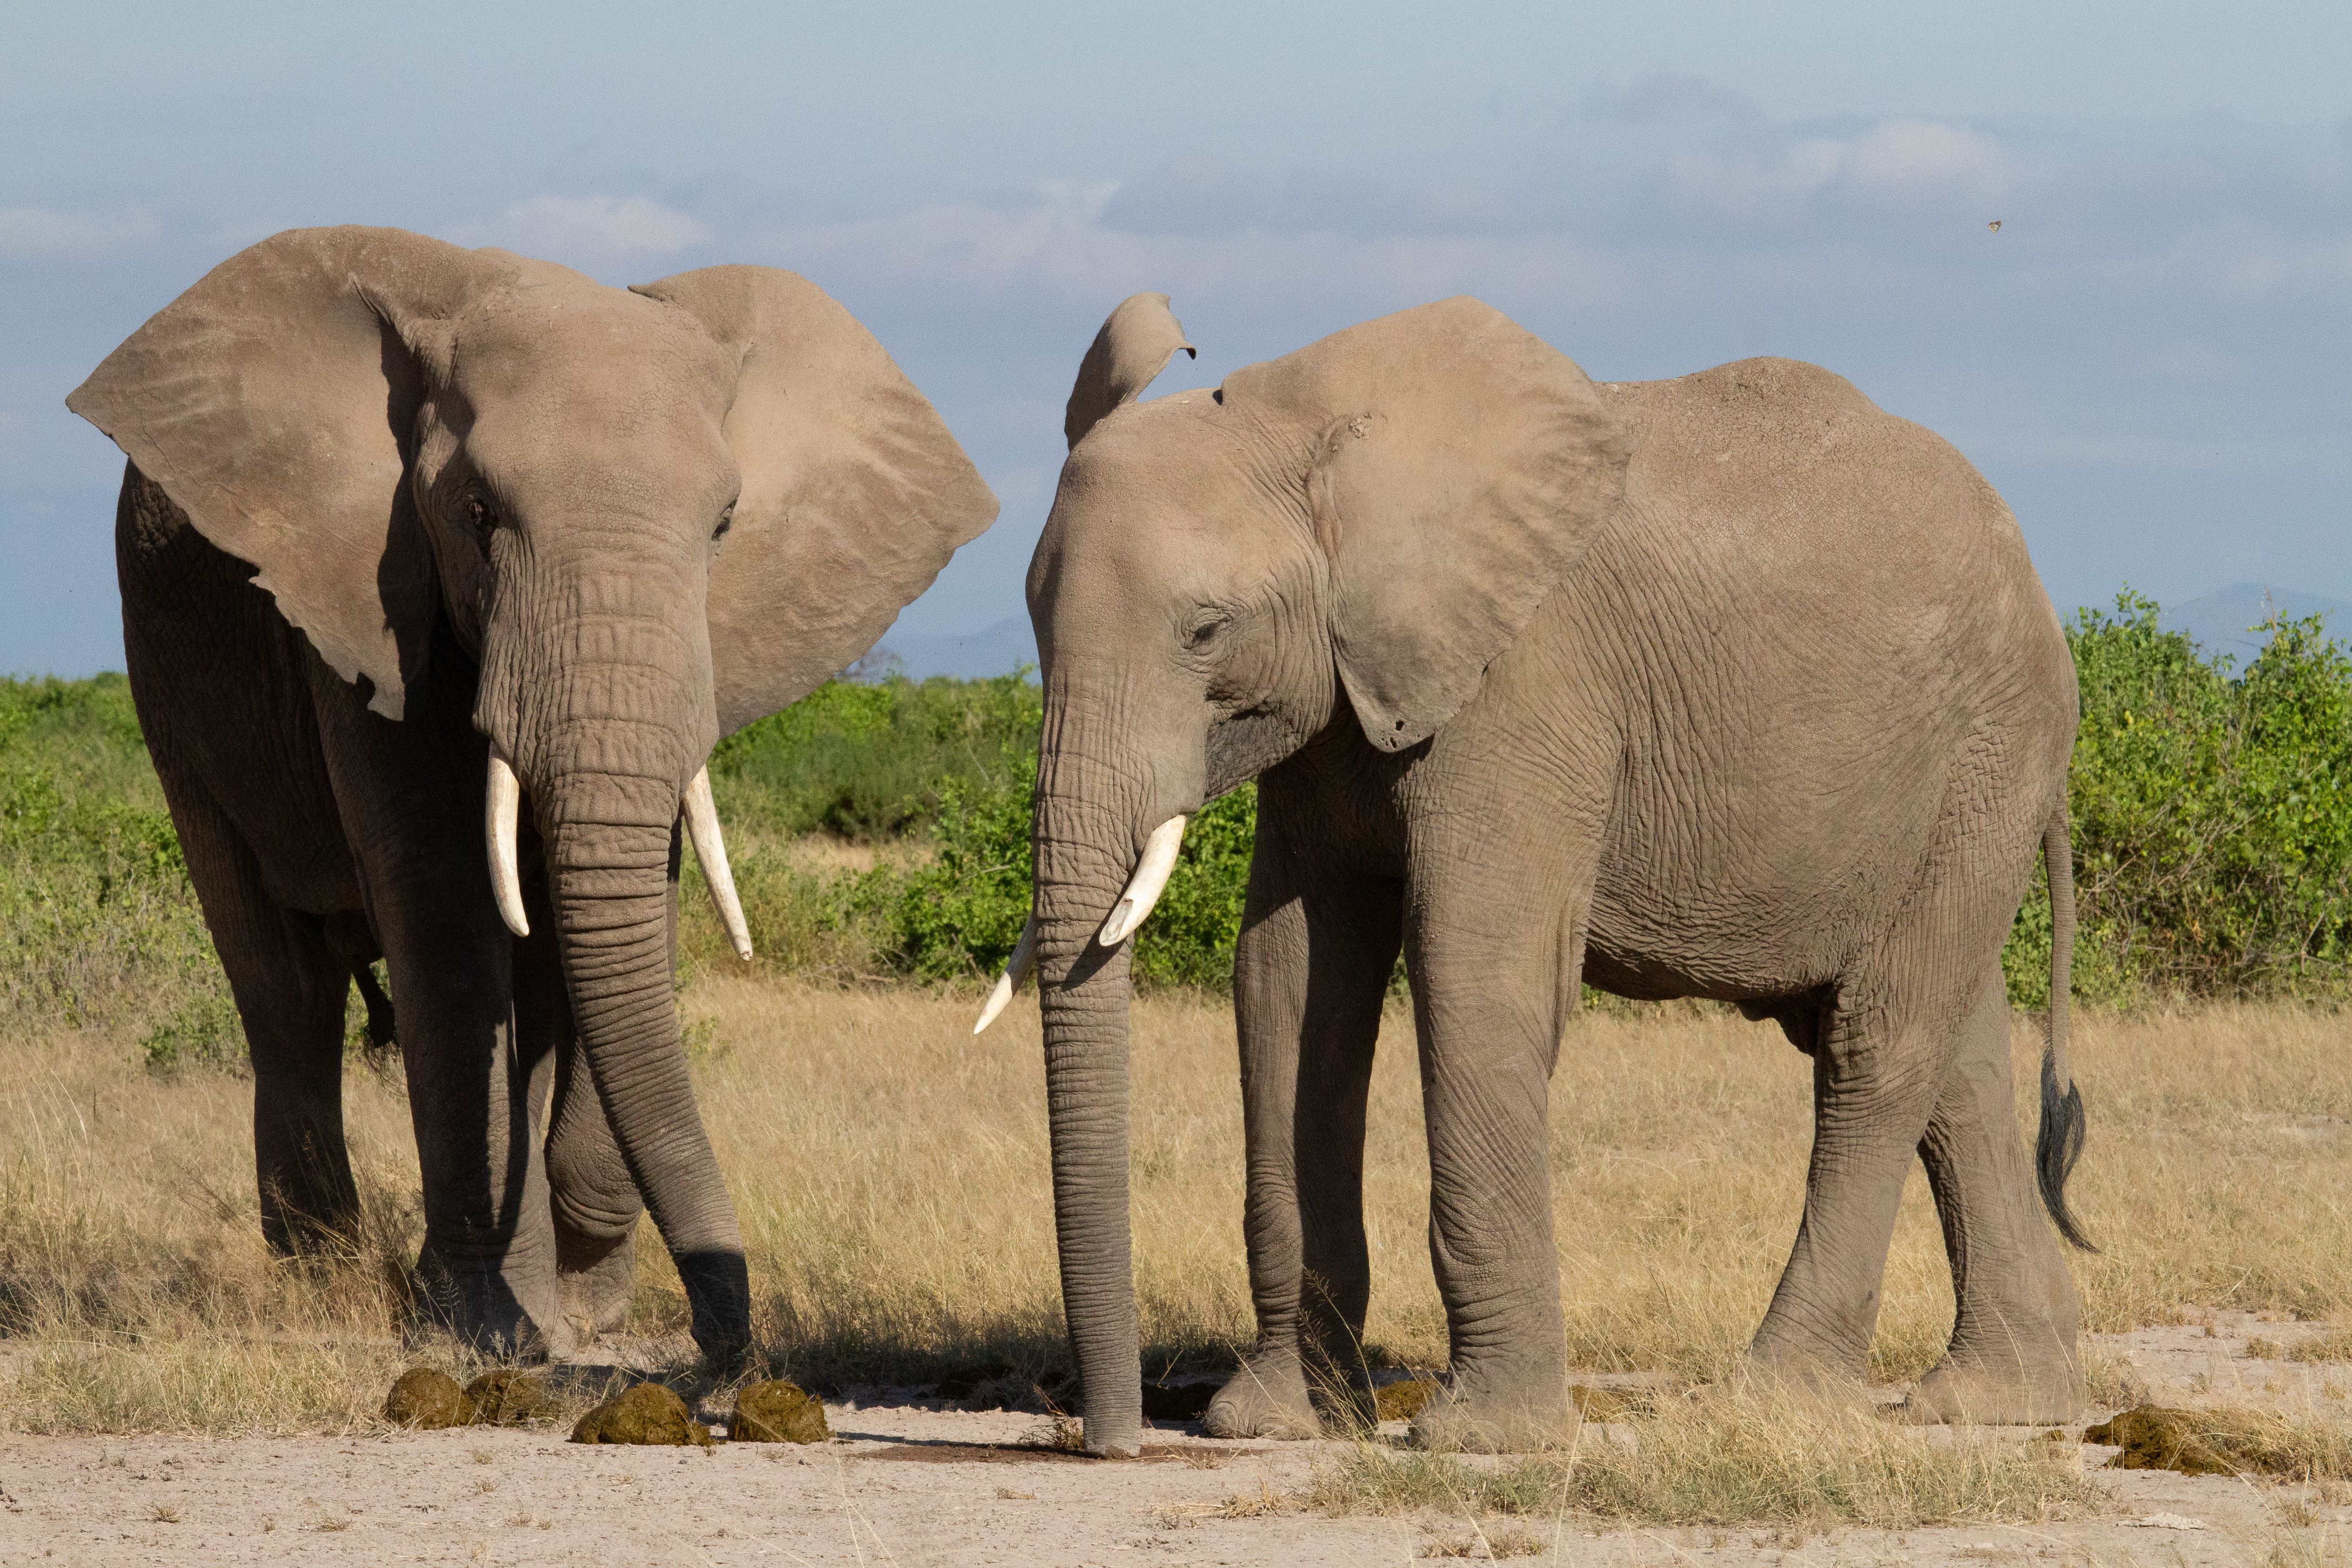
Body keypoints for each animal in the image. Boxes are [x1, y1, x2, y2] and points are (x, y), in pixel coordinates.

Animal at [67, 227, 997, 1369]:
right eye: (477, 515)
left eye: (725, 524)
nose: (721, 1347)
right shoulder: (368, 601)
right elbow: (445, 905)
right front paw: (484, 1327)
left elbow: (628, 910)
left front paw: (585, 1311)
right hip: (167, 679)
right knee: (284, 985)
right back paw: (325, 1271)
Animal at [975, 292, 2087, 1455]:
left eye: (1205, 629)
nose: (1109, 1439)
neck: (1316, 438)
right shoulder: (1333, 700)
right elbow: (1286, 983)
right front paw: (1275, 1423)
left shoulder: (1526, 685)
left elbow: (1477, 974)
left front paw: (1483, 1438)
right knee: (1958, 1057)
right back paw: (2000, 1401)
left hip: (1988, 756)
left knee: (1878, 1042)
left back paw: (1770, 1402)